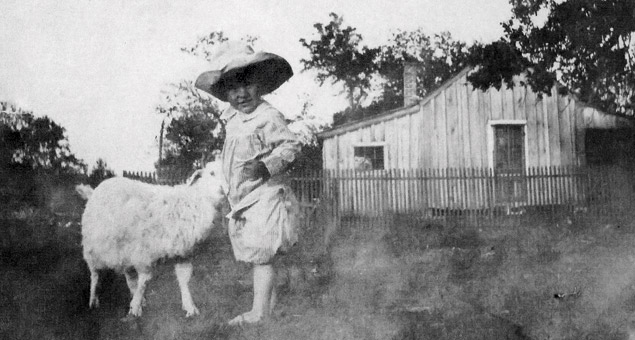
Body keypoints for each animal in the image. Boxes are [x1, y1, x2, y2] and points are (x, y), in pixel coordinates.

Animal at [78, 161, 226, 316]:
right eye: (212, 173)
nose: (223, 188)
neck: (193, 202)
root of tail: (94, 191)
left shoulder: (182, 254)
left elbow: (184, 280)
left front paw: (190, 307)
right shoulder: (144, 254)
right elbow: (144, 280)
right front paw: (135, 309)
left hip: (124, 249)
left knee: (129, 275)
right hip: (93, 247)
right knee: (95, 274)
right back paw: (94, 299)